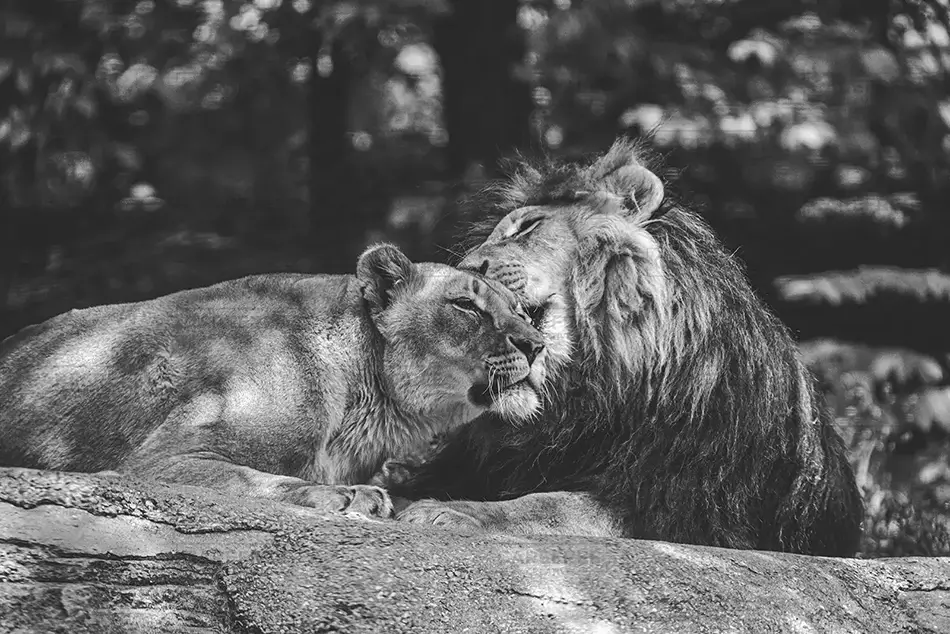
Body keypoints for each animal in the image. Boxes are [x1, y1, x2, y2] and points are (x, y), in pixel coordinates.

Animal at [0, 243, 550, 518]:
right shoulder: (155, 461)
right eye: (465, 305)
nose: (536, 345)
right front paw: (347, 497)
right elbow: (251, 479)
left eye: (523, 312)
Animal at [384, 139, 864, 556]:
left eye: (529, 226)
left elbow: (547, 504)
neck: (595, 385)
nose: (466, 272)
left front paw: (450, 511)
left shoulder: (679, 506)